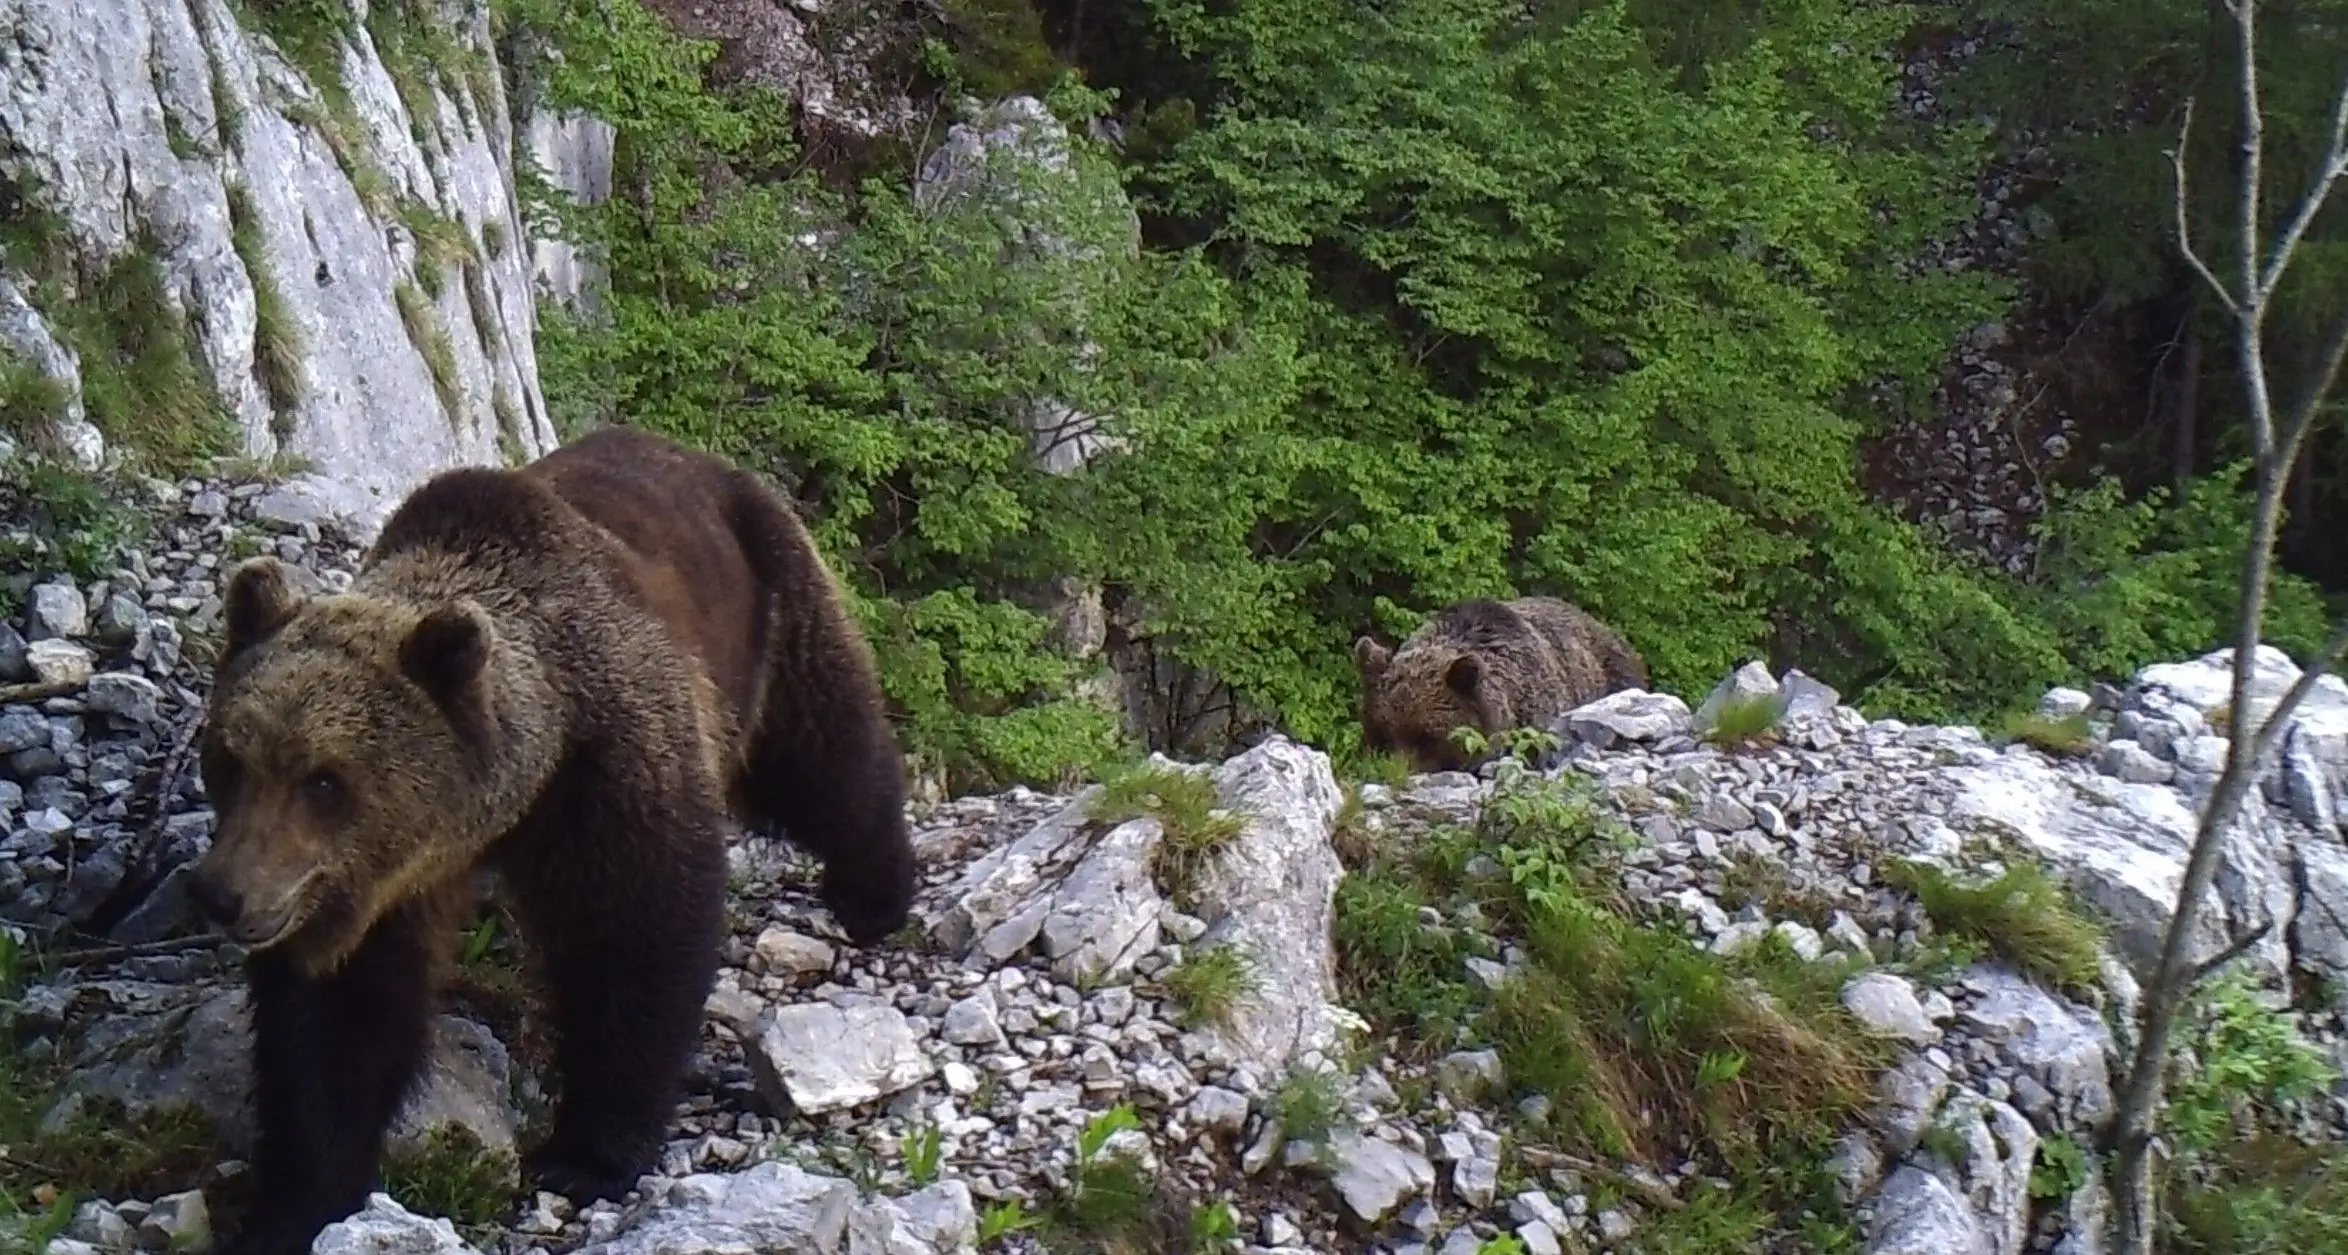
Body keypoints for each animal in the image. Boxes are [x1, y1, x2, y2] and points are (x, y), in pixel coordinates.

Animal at [185, 425, 917, 1255]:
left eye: (323, 780)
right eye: (230, 757)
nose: (222, 891)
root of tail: (698, 456)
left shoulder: (607, 766)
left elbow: (636, 939)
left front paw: (586, 1153)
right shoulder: (373, 885)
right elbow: (337, 1023)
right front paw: (296, 1201)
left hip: (769, 600)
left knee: (825, 747)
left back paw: (875, 890)